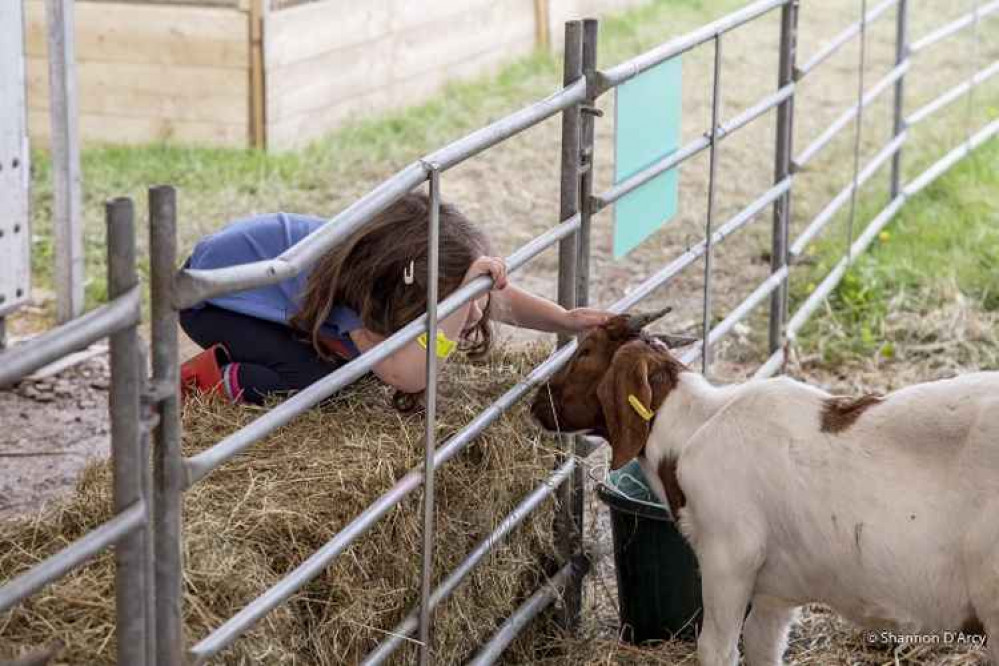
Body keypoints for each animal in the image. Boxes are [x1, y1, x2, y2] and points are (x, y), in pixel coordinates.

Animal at [532, 310, 999, 664]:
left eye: (585, 351)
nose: (537, 402)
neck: (695, 426)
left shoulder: (729, 557)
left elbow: (716, 649)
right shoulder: (776, 591)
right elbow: (761, 646)